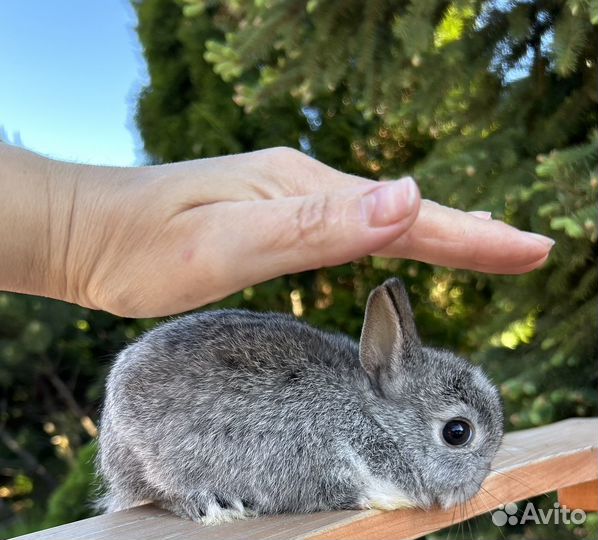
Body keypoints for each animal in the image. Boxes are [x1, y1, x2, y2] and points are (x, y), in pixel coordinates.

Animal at [98, 280, 506, 524]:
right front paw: (391, 500)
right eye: (457, 432)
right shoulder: (311, 459)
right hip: (151, 460)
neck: (372, 418)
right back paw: (214, 505)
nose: (472, 490)